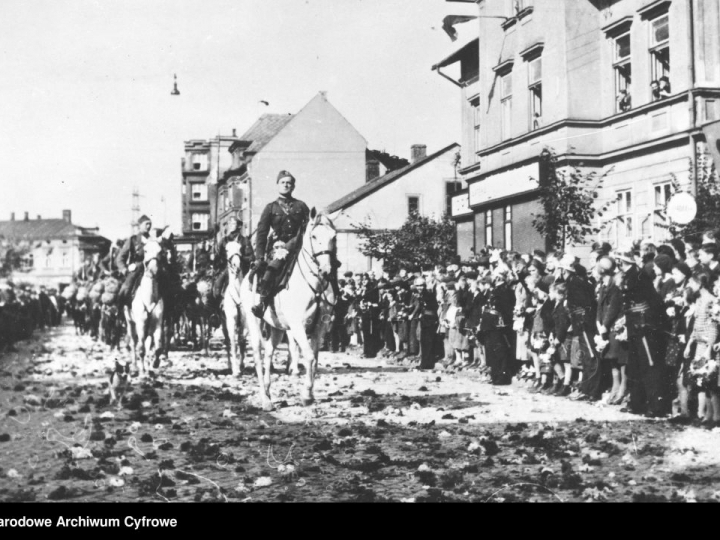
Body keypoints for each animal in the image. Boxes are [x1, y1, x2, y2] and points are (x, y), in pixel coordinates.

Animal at [126, 238, 167, 378]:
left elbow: (158, 347)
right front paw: (142, 371)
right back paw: (134, 368)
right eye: (145, 250)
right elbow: (141, 348)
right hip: (130, 322)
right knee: (133, 343)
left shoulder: (158, 322)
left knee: (149, 345)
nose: (153, 270)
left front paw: (154, 364)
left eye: (160, 251)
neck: (149, 297)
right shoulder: (140, 323)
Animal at [238, 209, 336, 412]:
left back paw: (268, 391)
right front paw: (306, 395)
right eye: (314, 236)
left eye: (334, 237)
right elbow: (309, 356)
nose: (326, 271)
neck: (314, 286)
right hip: (254, 321)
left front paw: (309, 393)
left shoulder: (320, 328)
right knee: (258, 354)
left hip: (277, 327)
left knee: (269, 351)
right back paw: (265, 399)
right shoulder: (298, 327)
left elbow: (315, 358)